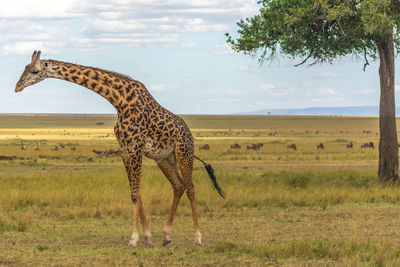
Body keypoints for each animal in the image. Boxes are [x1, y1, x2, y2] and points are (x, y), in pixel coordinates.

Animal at [14, 50, 225, 249]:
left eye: (34, 71)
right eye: (24, 68)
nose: (17, 86)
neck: (120, 101)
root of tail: (189, 133)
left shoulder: (136, 148)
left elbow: (135, 194)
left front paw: (133, 240)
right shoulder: (125, 149)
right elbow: (136, 193)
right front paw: (148, 239)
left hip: (184, 153)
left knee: (191, 188)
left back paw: (198, 239)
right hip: (164, 159)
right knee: (179, 186)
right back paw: (166, 236)